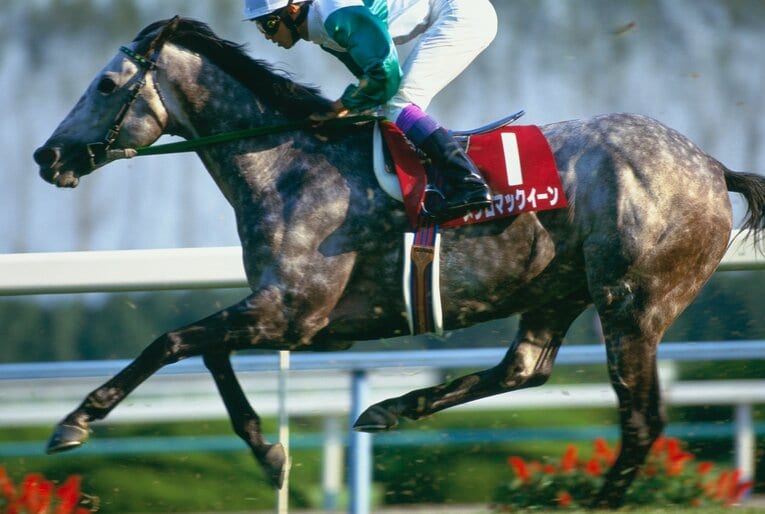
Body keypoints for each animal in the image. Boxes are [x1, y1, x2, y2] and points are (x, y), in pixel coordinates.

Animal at [32, 17, 765, 508]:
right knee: (524, 369)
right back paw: (389, 408)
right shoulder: (286, 317)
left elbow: (172, 341)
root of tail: (710, 165)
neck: (285, 163)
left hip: (632, 302)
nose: (46, 155)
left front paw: (75, 420)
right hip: (557, 290)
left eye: (106, 85)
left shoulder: (291, 313)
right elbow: (206, 351)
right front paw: (269, 453)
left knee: (640, 422)